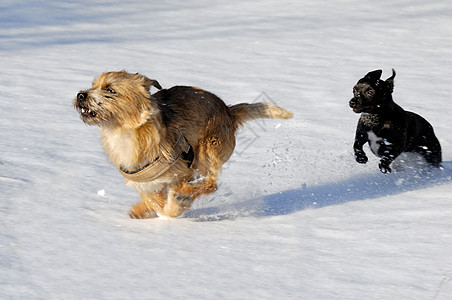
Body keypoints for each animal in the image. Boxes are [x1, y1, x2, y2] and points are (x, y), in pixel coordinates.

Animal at [74, 72, 294, 219]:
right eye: (93, 85)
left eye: (110, 90)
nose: (81, 95)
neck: (123, 134)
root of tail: (229, 112)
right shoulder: (145, 183)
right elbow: (153, 199)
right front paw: (144, 209)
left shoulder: (182, 172)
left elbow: (170, 205)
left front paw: (175, 205)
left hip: (208, 151)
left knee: (211, 183)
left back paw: (183, 195)